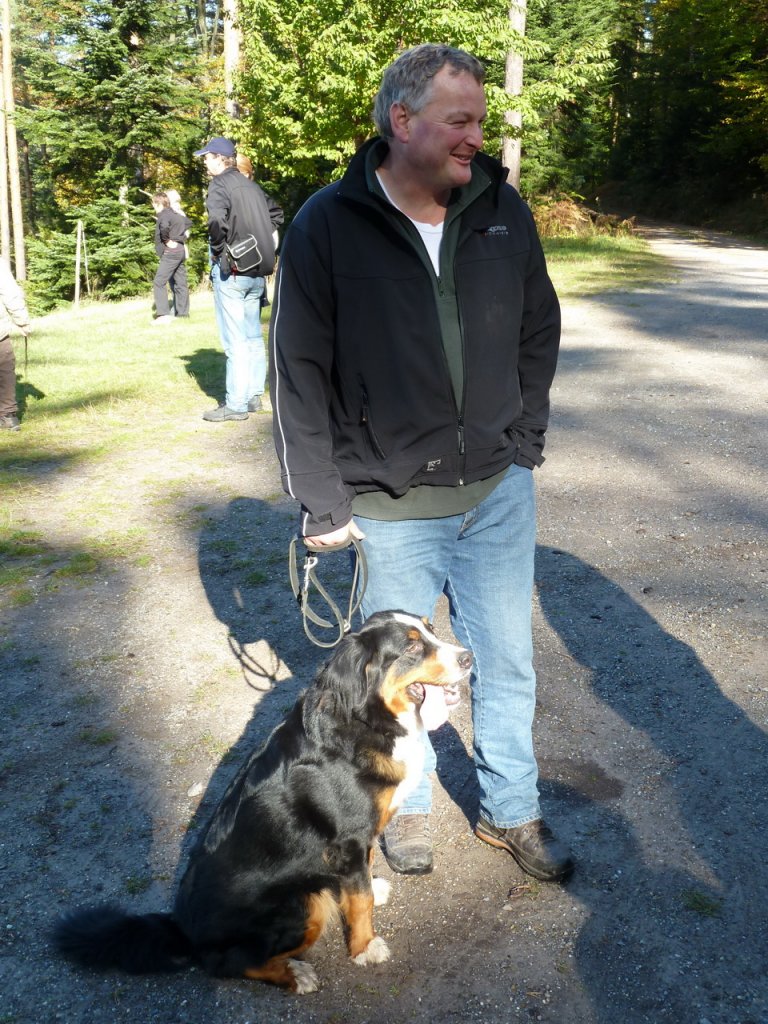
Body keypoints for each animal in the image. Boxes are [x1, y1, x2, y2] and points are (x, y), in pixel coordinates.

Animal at [53, 610, 472, 993]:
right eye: (412, 646)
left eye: (431, 630)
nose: (467, 657)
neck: (365, 719)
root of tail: (182, 928)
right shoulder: (348, 838)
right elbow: (360, 899)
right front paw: (365, 947)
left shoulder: (358, 838)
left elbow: (362, 882)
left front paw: (370, 892)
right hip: (301, 905)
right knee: (225, 962)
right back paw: (295, 974)